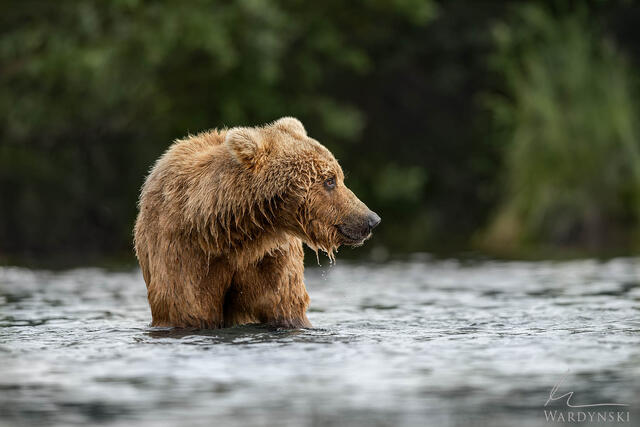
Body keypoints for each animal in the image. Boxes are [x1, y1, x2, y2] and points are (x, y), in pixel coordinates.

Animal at [134, 117, 380, 329]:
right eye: (330, 181)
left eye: (339, 177)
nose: (371, 219)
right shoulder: (186, 254)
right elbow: (188, 308)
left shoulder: (270, 257)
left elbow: (284, 305)